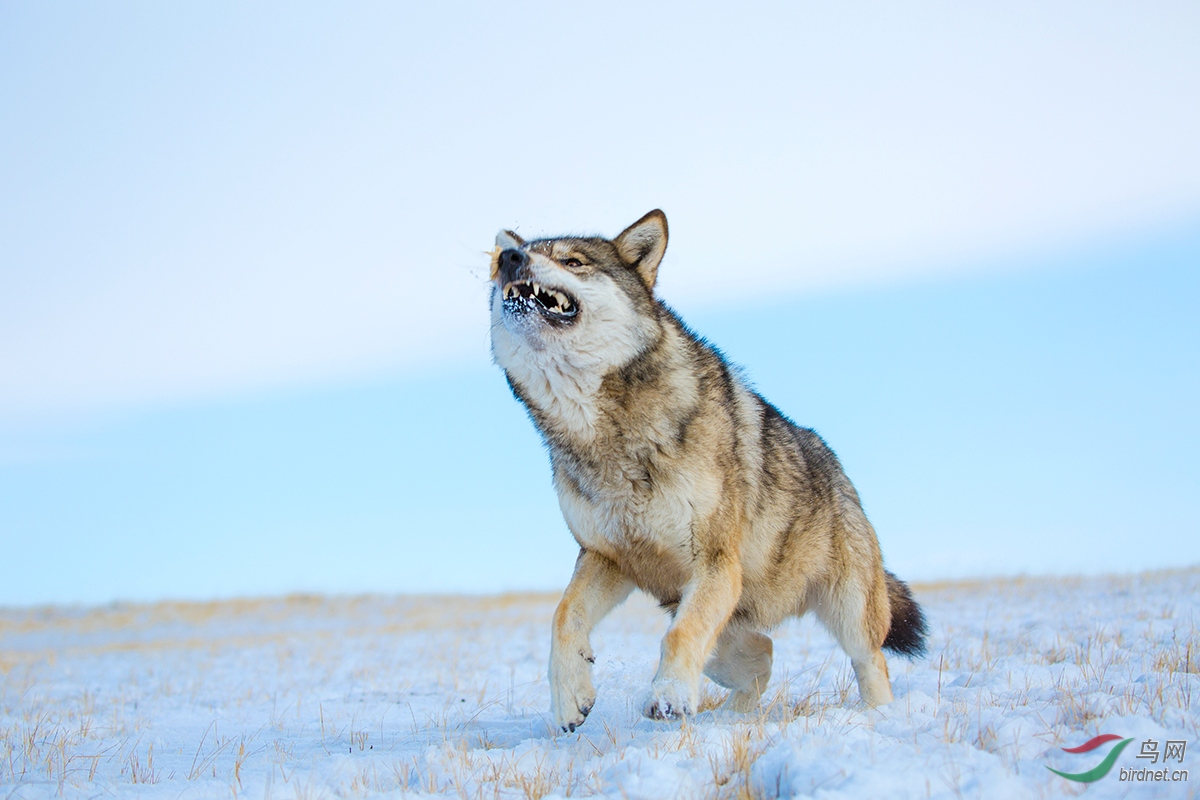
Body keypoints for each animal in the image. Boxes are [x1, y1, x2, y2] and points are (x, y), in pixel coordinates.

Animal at [487, 208, 926, 734]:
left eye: (572, 261)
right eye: (506, 258)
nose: (508, 258)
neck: (604, 432)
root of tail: (837, 467)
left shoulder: (714, 560)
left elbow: (679, 638)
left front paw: (668, 697)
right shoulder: (607, 557)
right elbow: (562, 617)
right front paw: (570, 700)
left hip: (846, 610)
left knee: (869, 660)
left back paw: (881, 717)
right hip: (719, 624)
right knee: (763, 655)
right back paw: (732, 721)